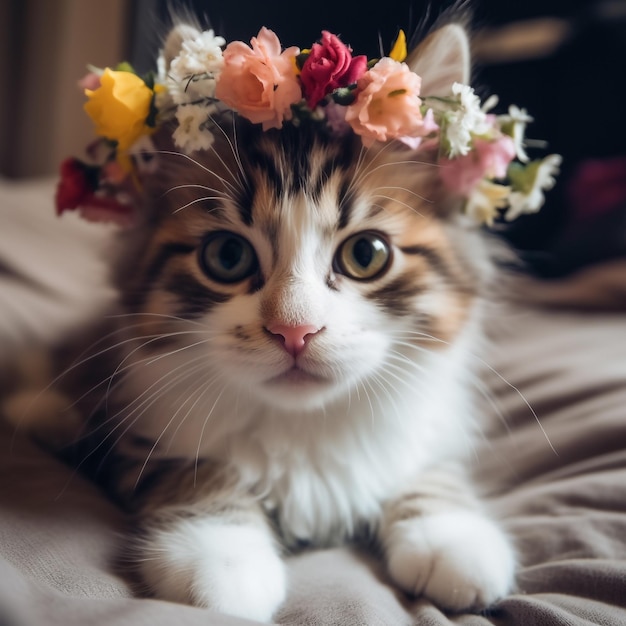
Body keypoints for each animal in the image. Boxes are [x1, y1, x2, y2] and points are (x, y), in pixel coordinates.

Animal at [58, 18, 516, 620]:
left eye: (366, 254)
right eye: (228, 257)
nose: (294, 331)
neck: (305, 428)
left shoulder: (429, 425)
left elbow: (427, 470)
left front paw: (450, 537)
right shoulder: (142, 434)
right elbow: (197, 473)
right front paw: (221, 558)